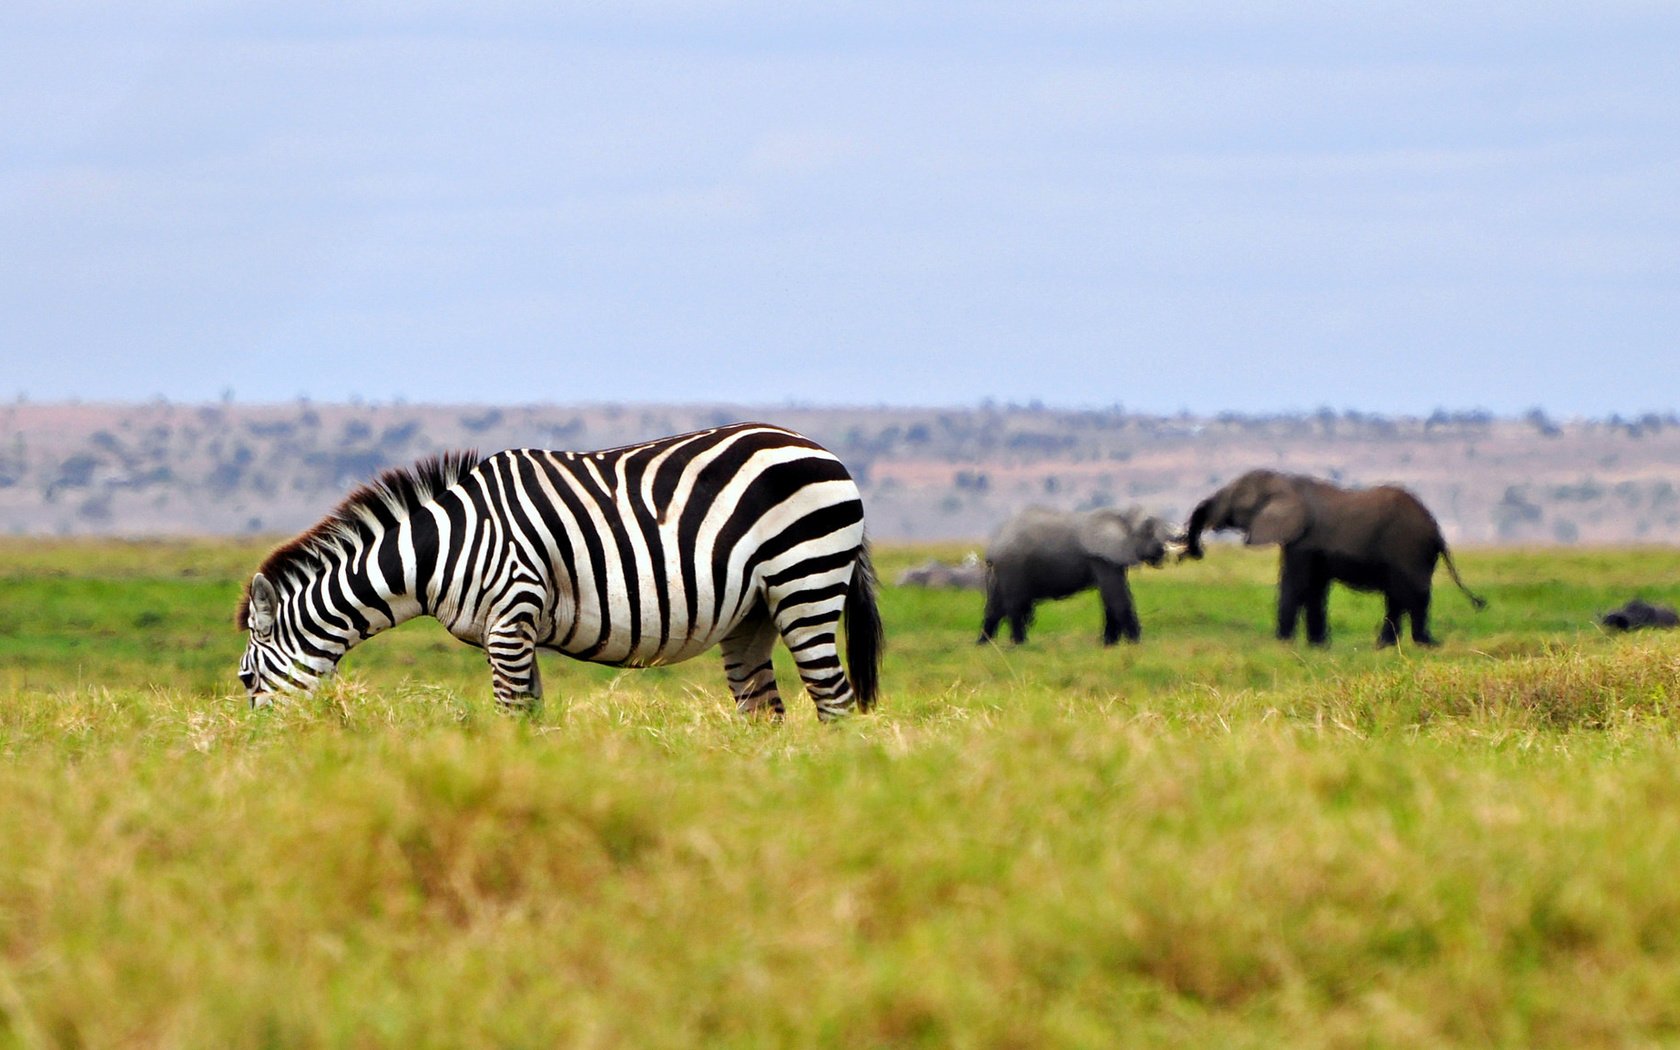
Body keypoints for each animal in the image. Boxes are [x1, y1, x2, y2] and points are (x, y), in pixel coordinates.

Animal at [245, 420, 893, 719]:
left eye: (247, 680)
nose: (258, 753)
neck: (440, 550)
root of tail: (824, 451)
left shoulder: (511, 618)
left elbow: (511, 715)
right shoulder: (513, 629)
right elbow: (530, 715)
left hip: (805, 581)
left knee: (834, 701)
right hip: (752, 612)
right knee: (764, 712)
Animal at [981, 507, 1176, 648]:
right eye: (1148, 530)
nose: (1161, 552)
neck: (1120, 516)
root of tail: (993, 547)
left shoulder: (1113, 558)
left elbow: (1110, 600)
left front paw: (1109, 646)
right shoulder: (1101, 557)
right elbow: (1117, 598)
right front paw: (1136, 645)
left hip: (1001, 572)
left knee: (995, 607)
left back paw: (983, 645)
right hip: (1012, 567)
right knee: (1014, 605)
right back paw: (1020, 645)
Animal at [1182, 470, 1485, 648]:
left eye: (1235, 501)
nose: (1197, 551)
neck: (1287, 482)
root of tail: (1437, 530)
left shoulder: (1303, 540)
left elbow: (1296, 585)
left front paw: (1282, 644)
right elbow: (1315, 589)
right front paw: (1317, 646)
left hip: (1408, 547)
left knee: (1410, 594)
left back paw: (1422, 644)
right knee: (1399, 596)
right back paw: (1391, 645)